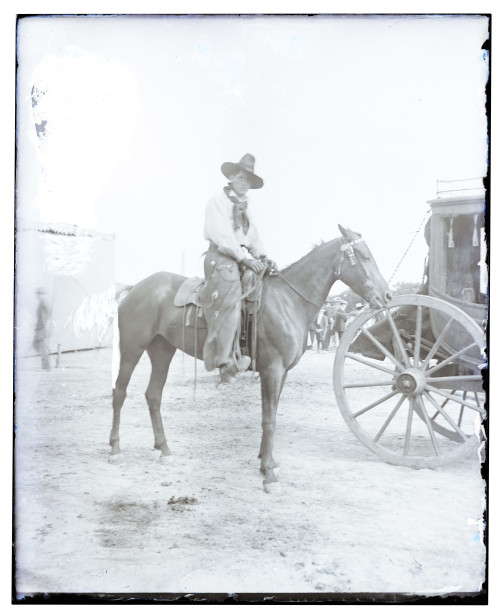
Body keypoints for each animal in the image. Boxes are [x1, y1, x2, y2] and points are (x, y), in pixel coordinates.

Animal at [111, 226, 392, 490]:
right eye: (364, 256)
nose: (387, 296)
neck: (288, 301)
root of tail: (135, 288)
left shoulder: (282, 373)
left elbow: (271, 415)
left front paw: (267, 461)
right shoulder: (272, 370)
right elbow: (269, 420)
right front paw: (268, 472)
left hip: (161, 350)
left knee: (153, 395)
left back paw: (164, 449)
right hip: (131, 349)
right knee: (120, 392)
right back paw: (115, 449)